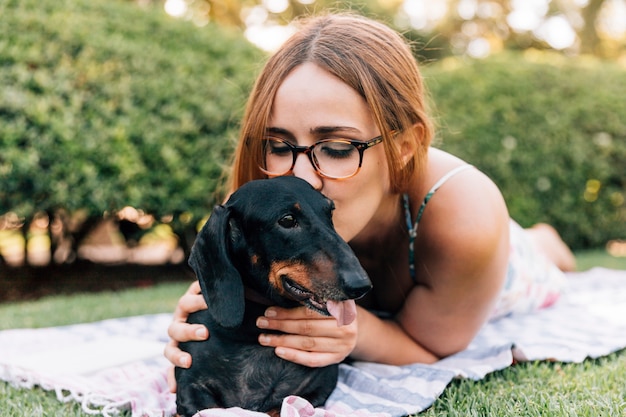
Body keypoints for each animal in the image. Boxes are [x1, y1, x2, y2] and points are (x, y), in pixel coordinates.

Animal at [174, 176, 370, 416]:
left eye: (330, 212)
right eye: (287, 220)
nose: (361, 285)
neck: (252, 331)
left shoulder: (312, 392)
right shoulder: (190, 389)